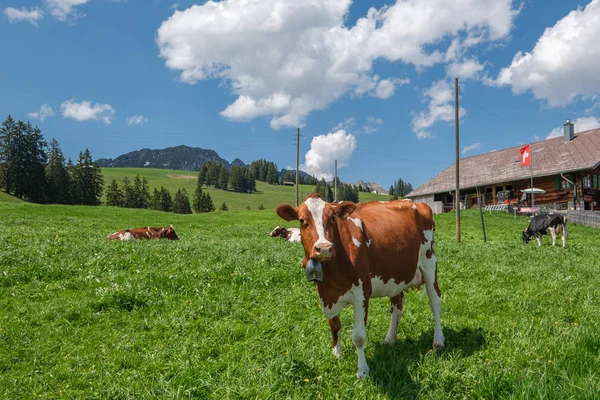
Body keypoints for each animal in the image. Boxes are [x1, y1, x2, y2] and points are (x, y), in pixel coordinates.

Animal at [276, 194, 440, 378]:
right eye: (302, 220)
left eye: (332, 218)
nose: (324, 248)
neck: (331, 275)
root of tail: (416, 203)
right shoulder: (326, 295)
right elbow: (335, 327)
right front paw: (337, 355)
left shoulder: (361, 294)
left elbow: (359, 337)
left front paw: (362, 371)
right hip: (395, 275)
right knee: (397, 305)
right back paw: (390, 340)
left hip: (429, 262)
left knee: (435, 301)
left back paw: (438, 342)